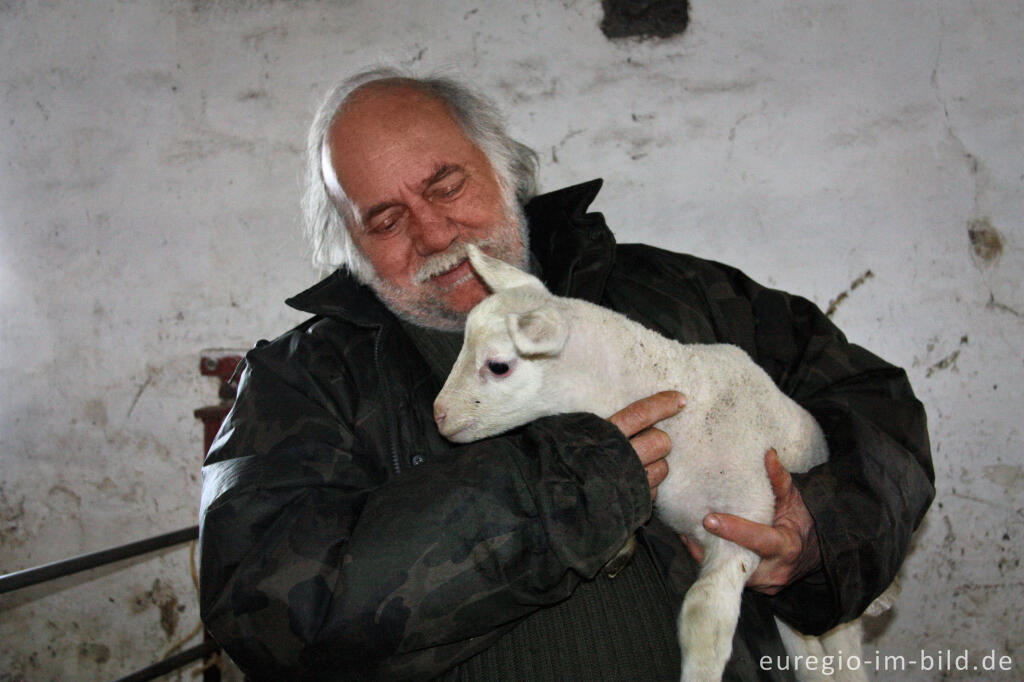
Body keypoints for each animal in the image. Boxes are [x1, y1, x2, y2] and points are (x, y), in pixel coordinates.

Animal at [432, 244, 888, 679]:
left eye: (498, 366)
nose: (438, 414)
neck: (684, 409)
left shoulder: (746, 516)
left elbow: (704, 611)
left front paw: (700, 672)